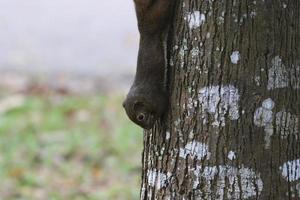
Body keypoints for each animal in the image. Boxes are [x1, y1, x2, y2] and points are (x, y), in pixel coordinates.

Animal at [122, 0, 173, 130]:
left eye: (141, 117)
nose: (148, 128)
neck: (142, 96)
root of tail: (142, 26)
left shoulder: (156, 98)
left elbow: (164, 105)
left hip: (156, 17)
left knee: (163, 7)